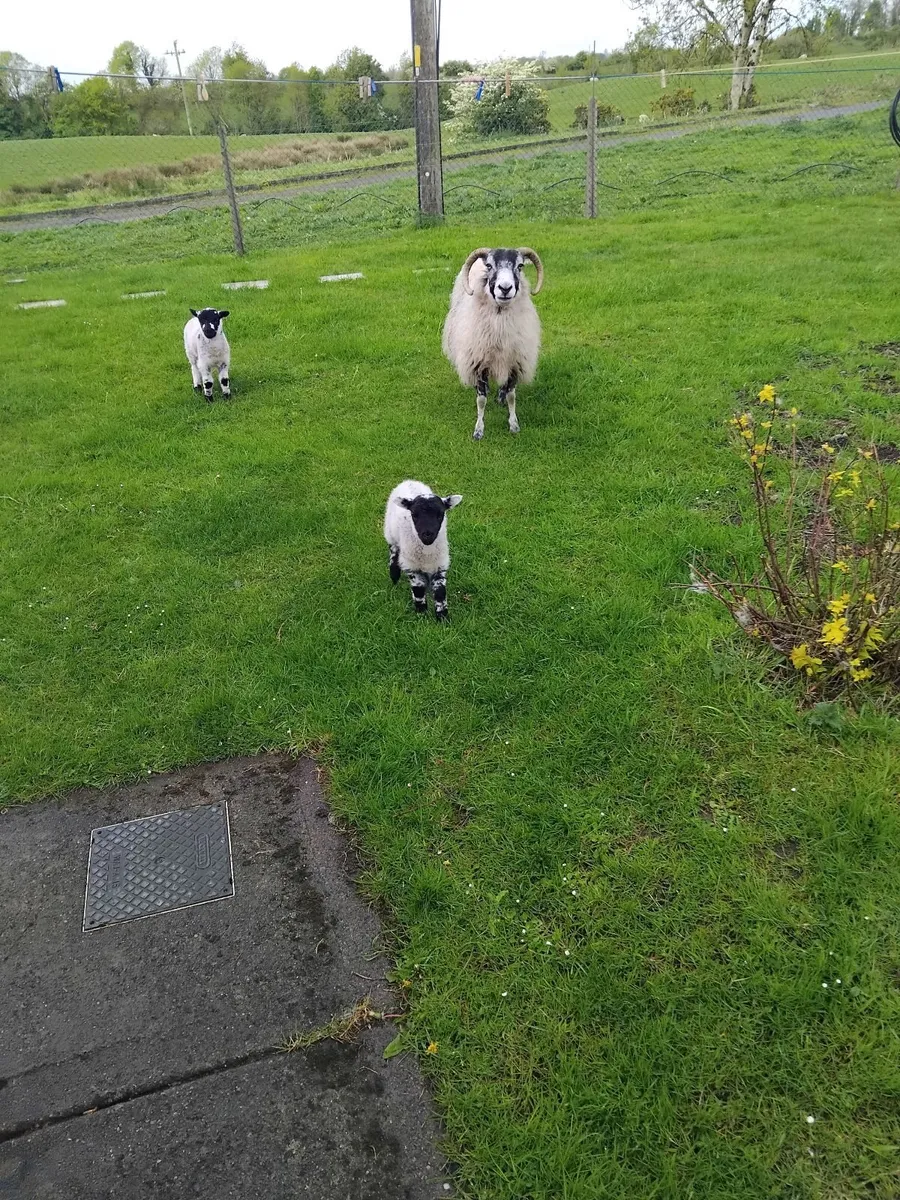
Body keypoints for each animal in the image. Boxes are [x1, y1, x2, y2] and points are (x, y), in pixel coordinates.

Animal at [383, 480, 463, 621]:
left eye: (440, 514)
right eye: (414, 515)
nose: (428, 535)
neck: (426, 553)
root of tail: (409, 481)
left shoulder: (439, 565)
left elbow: (440, 593)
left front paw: (442, 617)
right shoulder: (412, 566)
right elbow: (418, 589)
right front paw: (421, 612)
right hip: (390, 533)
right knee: (393, 551)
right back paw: (394, 575)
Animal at [441, 247, 543, 440]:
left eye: (520, 266)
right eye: (489, 265)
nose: (505, 288)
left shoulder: (514, 363)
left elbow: (511, 396)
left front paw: (513, 425)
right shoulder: (478, 364)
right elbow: (481, 400)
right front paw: (478, 430)